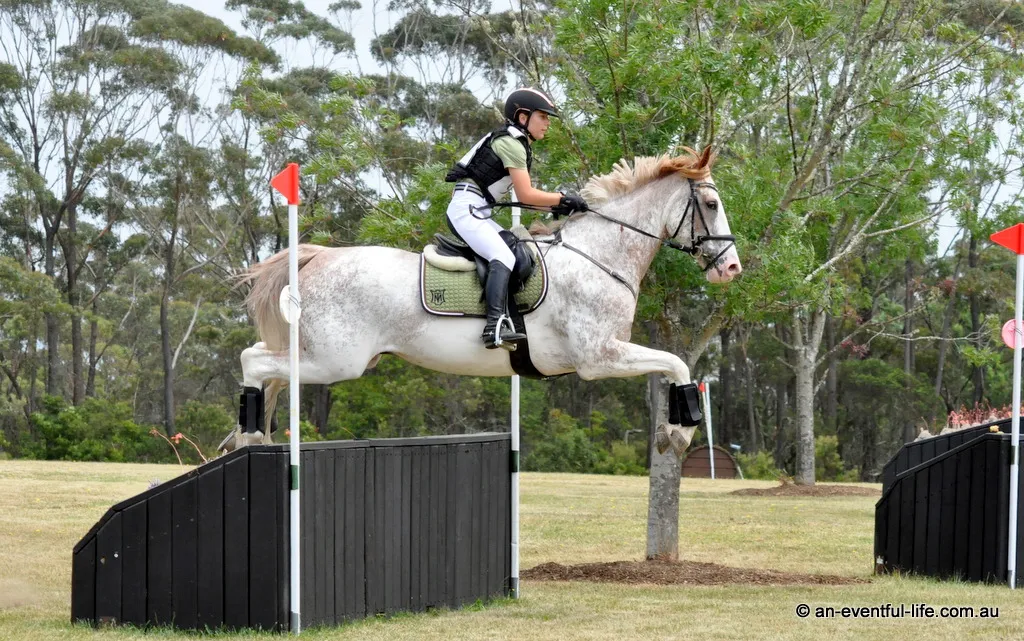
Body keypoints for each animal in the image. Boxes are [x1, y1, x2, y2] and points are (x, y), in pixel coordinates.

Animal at [220, 146, 742, 456]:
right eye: (711, 204)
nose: (731, 268)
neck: (599, 255)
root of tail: (319, 258)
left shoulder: (605, 354)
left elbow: (674, 364)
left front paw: (675, 431)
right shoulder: (599, 357)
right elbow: (676, 362)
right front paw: (679, 431)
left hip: (328, 355)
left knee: (262, 360)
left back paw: (252, 433)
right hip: (334, 361)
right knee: (254, 360)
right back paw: (250, 432)